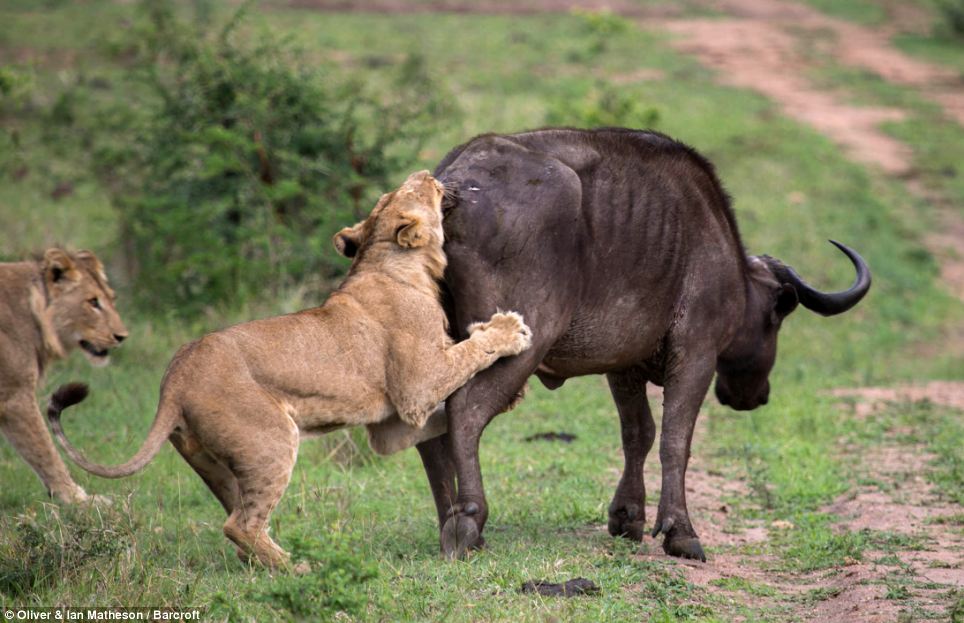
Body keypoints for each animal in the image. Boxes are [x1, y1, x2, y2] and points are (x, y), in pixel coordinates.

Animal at [0, 246, 128, 504]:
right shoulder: (15, 395)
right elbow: (44, 450)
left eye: (112, 298)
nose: (121, 337)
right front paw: (77, 499)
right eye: (92, 302)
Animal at [47, 171, 536, 572]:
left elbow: (446, 403)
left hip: (219, 463)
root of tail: (173, 380)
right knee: (239, 526)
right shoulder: (415, 388)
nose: (428, 173)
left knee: (239, 522)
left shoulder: (392, 426)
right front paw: (508, 330)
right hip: (271, 440)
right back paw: (299, 567)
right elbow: (466, 354)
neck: (388, 261)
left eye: (389, 194)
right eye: (416, 191)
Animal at [416, 127, 872, 560]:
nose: (755, 396)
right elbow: (675, 439)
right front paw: (680, 532)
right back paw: (468, 522)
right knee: (466, 412)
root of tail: (454, 186)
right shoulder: (696, 354)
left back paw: (448, 520)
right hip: (519, 342)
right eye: (776, 319)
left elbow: (639, 432)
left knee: (432, 424)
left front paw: (627, 515)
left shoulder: (623, 365)